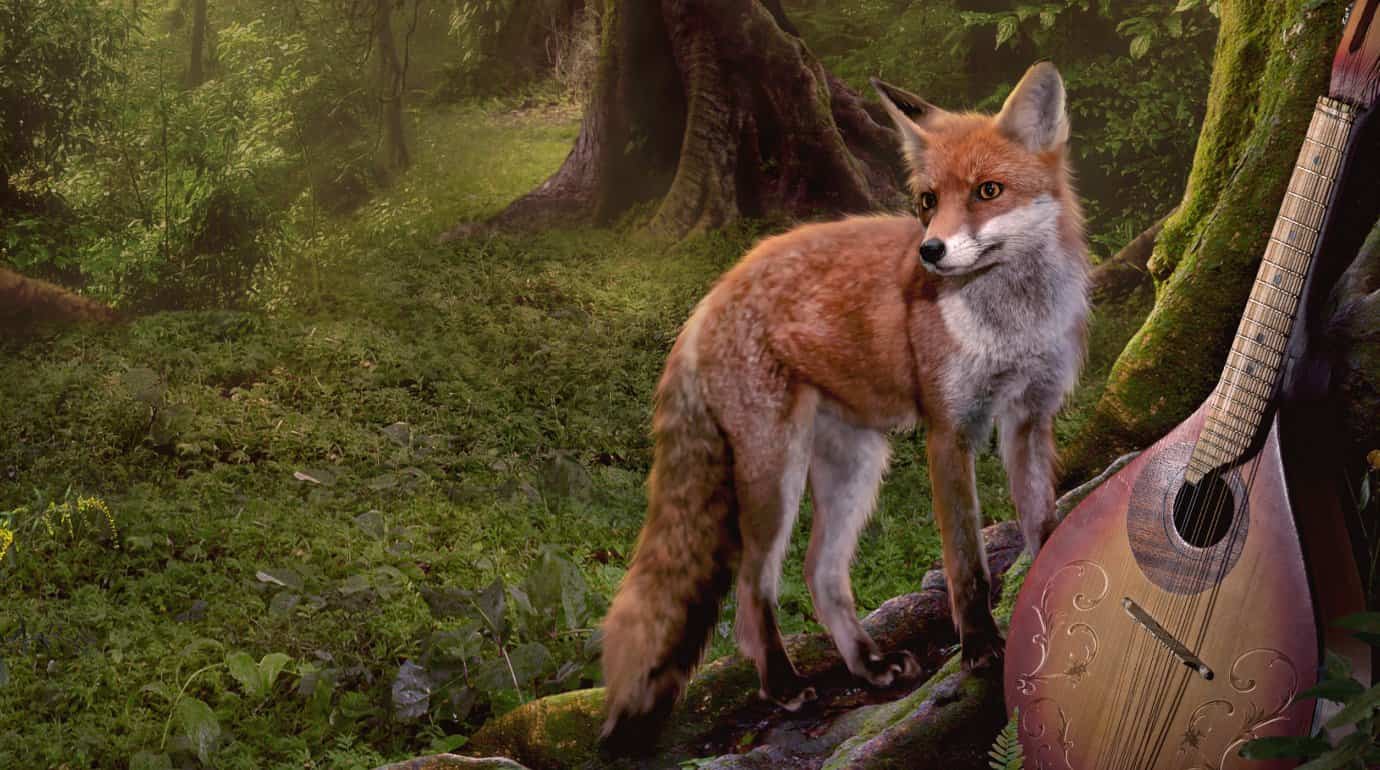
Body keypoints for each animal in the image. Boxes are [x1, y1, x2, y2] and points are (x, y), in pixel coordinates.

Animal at [599, 62, 1089, 752]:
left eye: (988, 191)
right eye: (927, 201)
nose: (929, 253)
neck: (1012, 321)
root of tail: (712, 294)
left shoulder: (1030, 417)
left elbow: (1041, 526)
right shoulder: (950, 432)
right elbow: (965, 562)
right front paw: (980, 649)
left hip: (857, 466)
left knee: (821, 575)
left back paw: (869, 664)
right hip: (774, 476)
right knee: (753, 590)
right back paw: (783, 687)